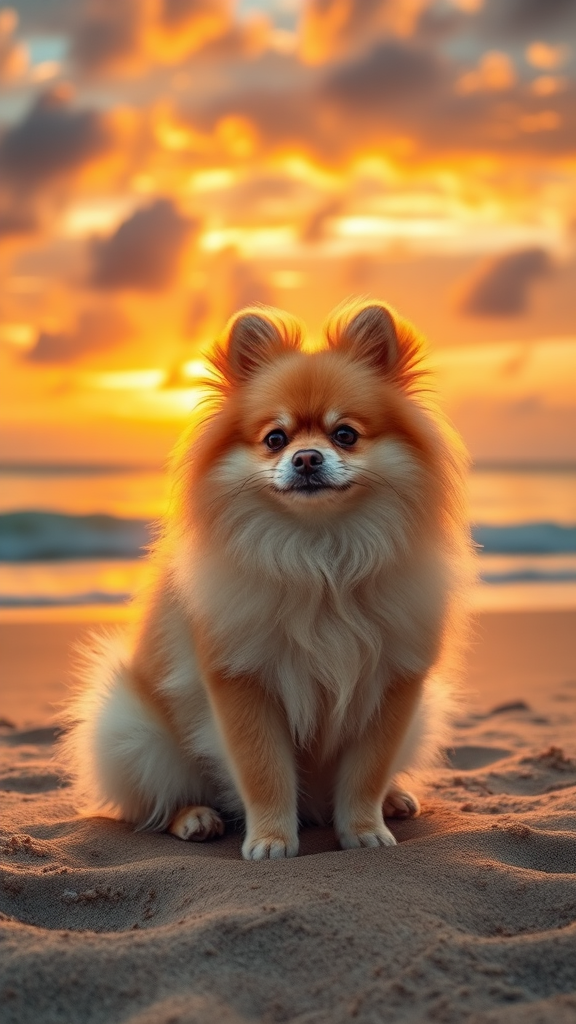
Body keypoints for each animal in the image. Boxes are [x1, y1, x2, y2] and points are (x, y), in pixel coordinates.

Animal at [61, 299, 471, 860]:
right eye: (275, 439)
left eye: (345, 434)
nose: (306, 457)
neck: (320, 558)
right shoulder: (243, 681)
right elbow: (264, 771)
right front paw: (273, 839)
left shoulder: (393, 683)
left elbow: (366, 772)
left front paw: (364, 829)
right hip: (129, 732)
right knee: (158, 801)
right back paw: (195, 818)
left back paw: (394, 799)